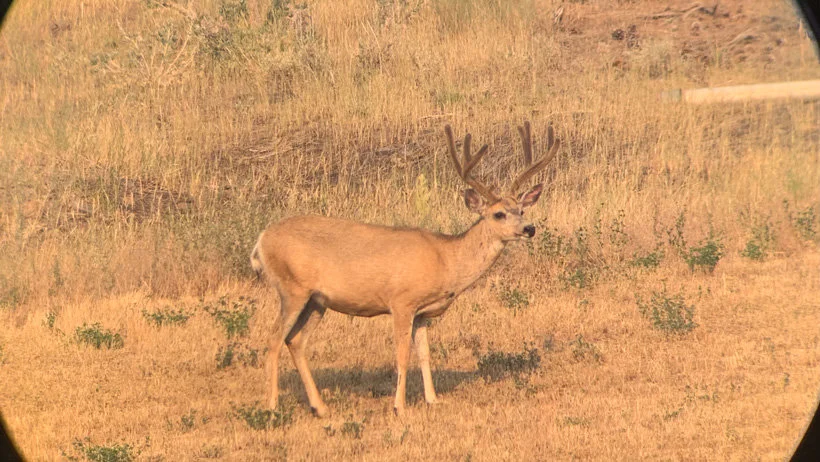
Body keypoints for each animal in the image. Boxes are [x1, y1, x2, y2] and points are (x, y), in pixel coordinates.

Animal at [250, 121, 561, 417]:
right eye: (498, 214)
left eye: (522, 210)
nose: (529, 228)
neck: (446, 259)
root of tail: (261, 240)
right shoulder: (401, 302)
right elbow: (402, 355)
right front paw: (399, 407)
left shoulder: (423, 312)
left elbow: (424, 354)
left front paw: (433, 400)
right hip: (291, 289)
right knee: (273, 339)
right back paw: (272, 406)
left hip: (317, 300)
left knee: (295, 341)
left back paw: (320, 407)